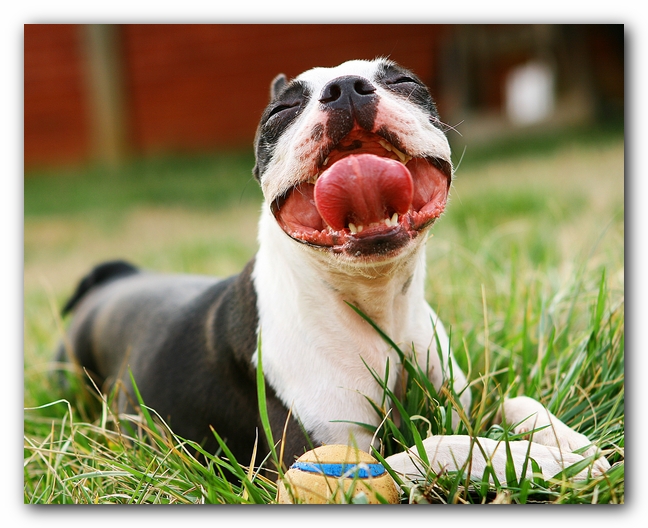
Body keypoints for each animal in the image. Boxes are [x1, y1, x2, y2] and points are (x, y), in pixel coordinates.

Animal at [54, 57, 608, 486]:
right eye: (280, 112)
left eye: (404, 82)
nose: (345, 88)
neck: (376, 305)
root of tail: (116, 277)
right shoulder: (320, 462)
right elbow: (447, 447)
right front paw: (548, 462)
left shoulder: (463, 404)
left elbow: (513, 401)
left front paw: (576, 447)